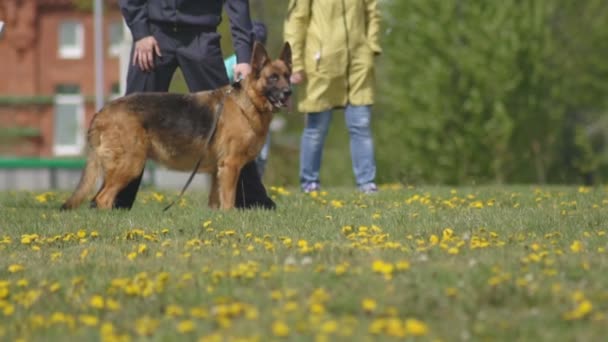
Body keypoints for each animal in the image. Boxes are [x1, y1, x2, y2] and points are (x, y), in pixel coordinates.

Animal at [61, 41, 292, 210]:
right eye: (273, 78)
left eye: (287, 76)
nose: (289, 92)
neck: (248, 102)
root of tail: (102, 112)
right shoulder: (230, 166)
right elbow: (228, 203)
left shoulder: (217, 172)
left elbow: (215, 204)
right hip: (131, 165)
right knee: (103, 199)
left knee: (98, 198)